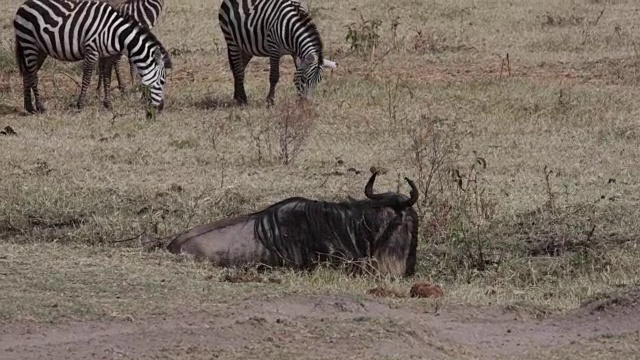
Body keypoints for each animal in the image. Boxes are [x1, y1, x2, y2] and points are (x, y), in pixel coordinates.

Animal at [13, 0, 171, 116]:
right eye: (162, 81)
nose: (161, 108)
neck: (115, 33)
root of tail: (24, 4)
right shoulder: (92, 50)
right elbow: (87, 78)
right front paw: (80, 104)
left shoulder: (108, 55)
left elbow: (107, 76)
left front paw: (108, 104)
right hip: (29, 43)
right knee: (33, 75)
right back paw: (40, 107)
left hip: (40, 49)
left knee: (28, 72)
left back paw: (28, 106)